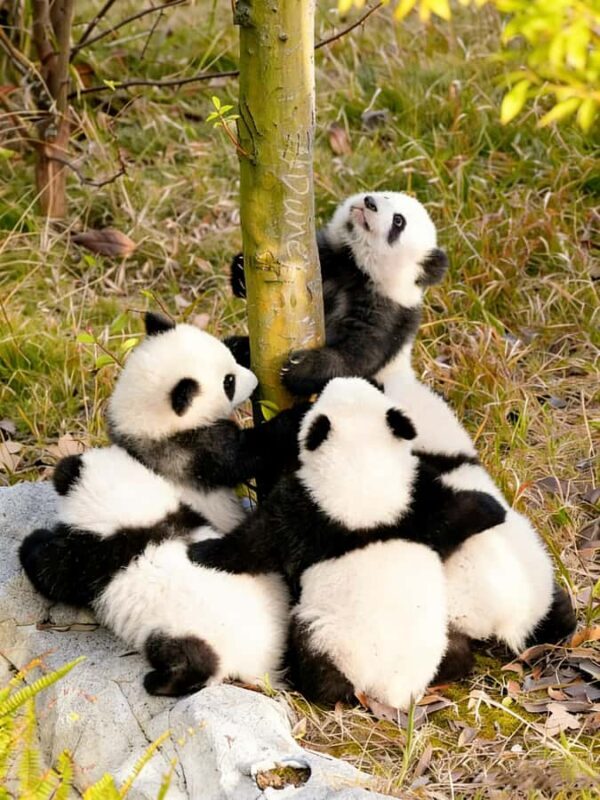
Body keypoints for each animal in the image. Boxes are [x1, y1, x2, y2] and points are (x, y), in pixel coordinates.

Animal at [20, 445, 289, 696]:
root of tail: (259, 666)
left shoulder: (97, 556)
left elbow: (54, 573)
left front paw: (32, 542)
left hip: (186, 630)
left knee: (194, 659)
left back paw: (160, 681)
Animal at [190, 378, 507, 710]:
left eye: (323, 400)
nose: (338, 380)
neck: (363, 468)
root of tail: (391, 693)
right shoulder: (418, 501)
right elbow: (464, 510)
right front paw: (490, 508)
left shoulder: (306, 512)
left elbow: (257, 542)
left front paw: (202, 552)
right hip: (441, 633)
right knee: (456, 652)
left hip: (327, 639)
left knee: (317, 663)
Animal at [227, 192, 448, 395]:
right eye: (385, 195)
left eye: (398, 221)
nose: (369, 202)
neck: (357, 268)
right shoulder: (327, 265)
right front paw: (241, 273)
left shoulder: (387, 316)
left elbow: (358, 359)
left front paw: (299, 368)